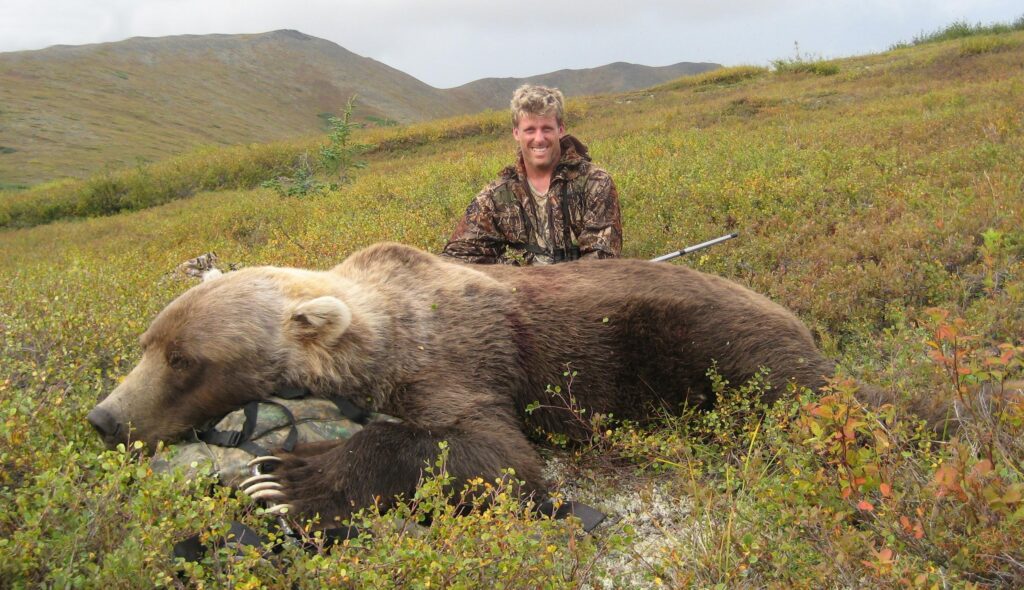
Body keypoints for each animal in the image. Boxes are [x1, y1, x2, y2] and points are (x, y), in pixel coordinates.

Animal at [88, 242, 893, 523]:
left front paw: (288, 480)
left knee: (805, 391)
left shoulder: (452, 361)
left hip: (708, 341)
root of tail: (796, 314)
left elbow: (491, 454)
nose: (105, 419)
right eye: (149, 344)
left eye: (186, 361)